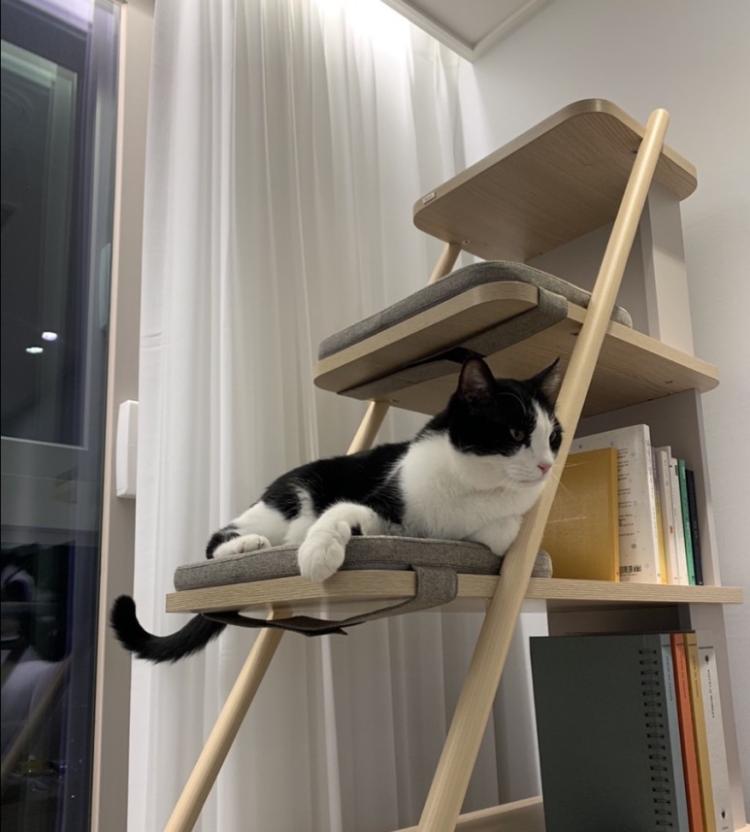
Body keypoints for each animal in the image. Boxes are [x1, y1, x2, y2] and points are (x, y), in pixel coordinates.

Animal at [111, 356, 562, 662]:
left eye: (553, 437)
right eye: (516, 433)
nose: (546, 465)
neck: (471, 485)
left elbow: (501, 531)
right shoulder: (382, 496)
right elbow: (338, 514)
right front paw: (317, 555)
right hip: (287, 500)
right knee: (220, 536)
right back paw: (249, 546)